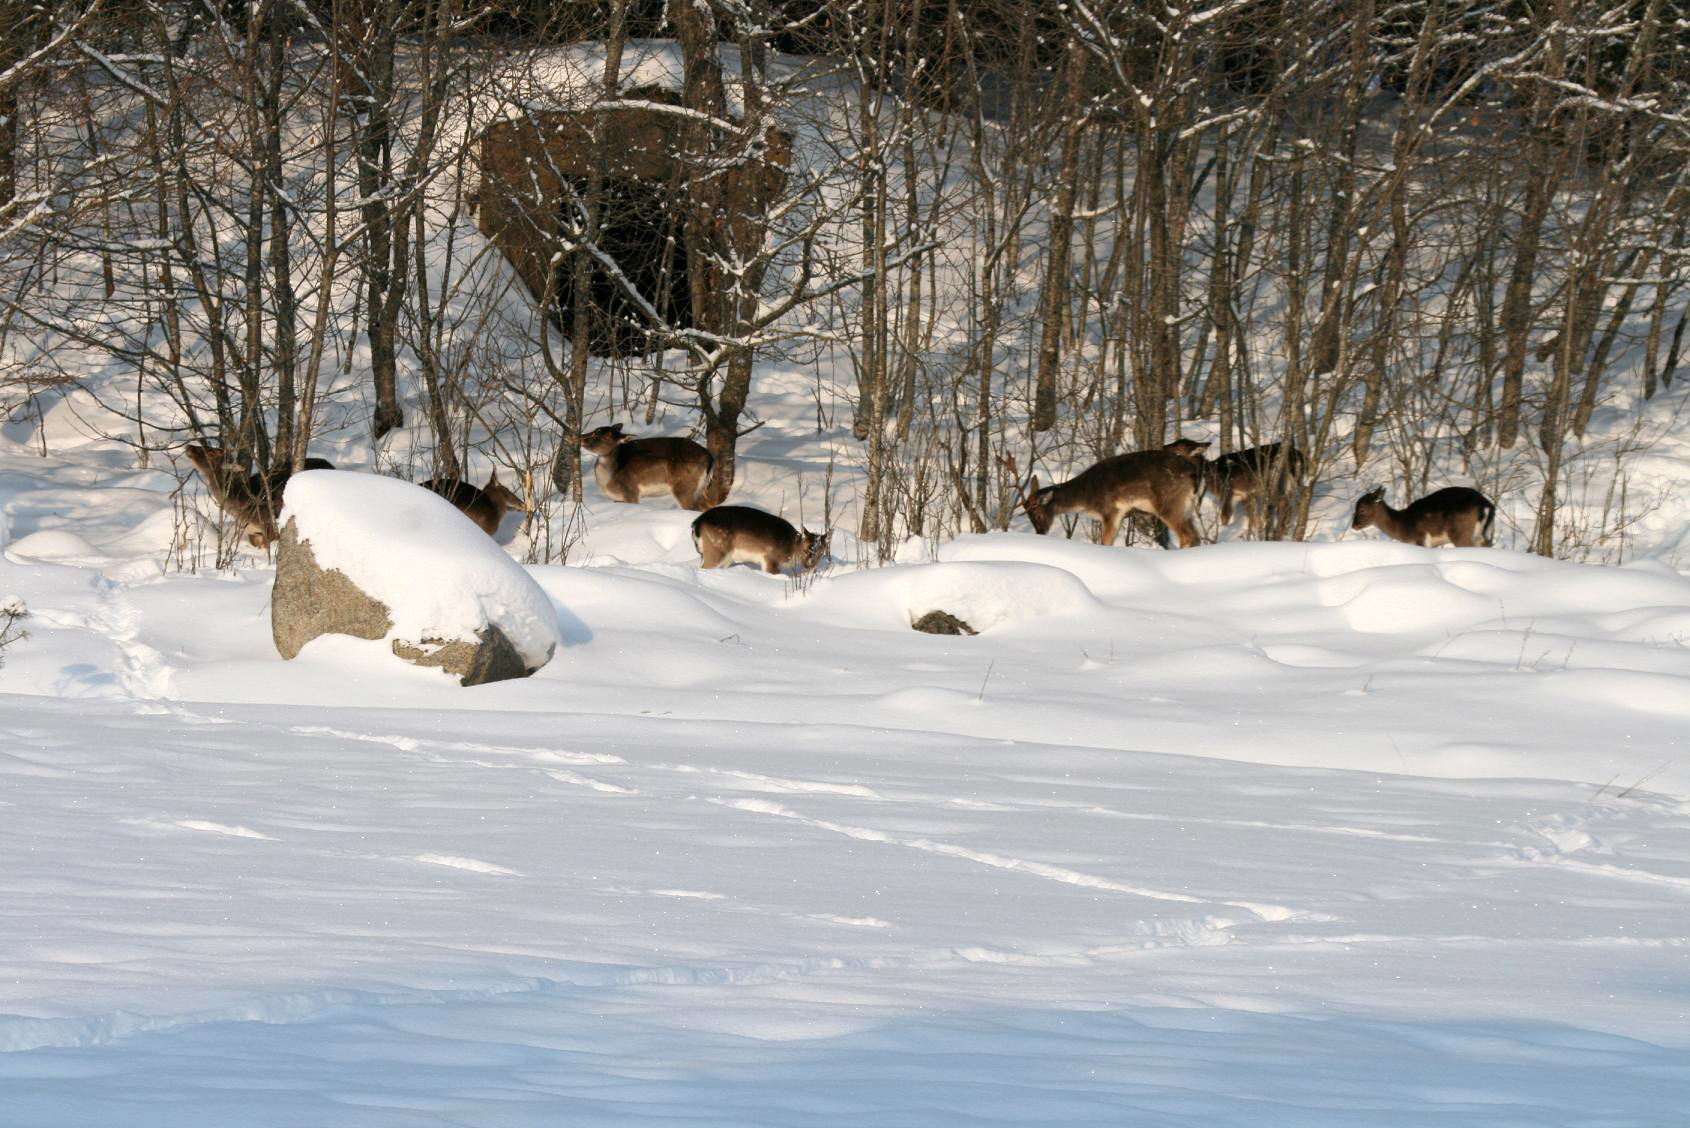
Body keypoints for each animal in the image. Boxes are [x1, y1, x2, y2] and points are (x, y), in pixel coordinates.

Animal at [580, 423, 715, 510]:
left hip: (684, 487)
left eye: (601, 435)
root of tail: (710, 458)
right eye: (594, 431)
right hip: (700, 489)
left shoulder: (631, 493)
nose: (582, 438)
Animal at [692, 505, 830, 574]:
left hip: (727, 557)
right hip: (716, 548)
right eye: (806, 550)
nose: (809, 566)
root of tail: (696, 524)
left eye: (821, 552)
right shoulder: (771, 558)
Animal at [1014, 448, 1205, 549]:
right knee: (1195, 536)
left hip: (1170, 504)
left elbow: (1105, 542)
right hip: (1186, 507)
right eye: (1029, 517)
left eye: (1038, 514)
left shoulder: (1110, 511)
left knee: (1188, 536)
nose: (1040, 532)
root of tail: (1193, 472)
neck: (1086, 497)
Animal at [1351, 485, 1496, 548]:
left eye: (1362, 509)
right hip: (1481, 534)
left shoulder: (1420, 538)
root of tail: (1486, 505)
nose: (1354, 525)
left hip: (1460, 531)